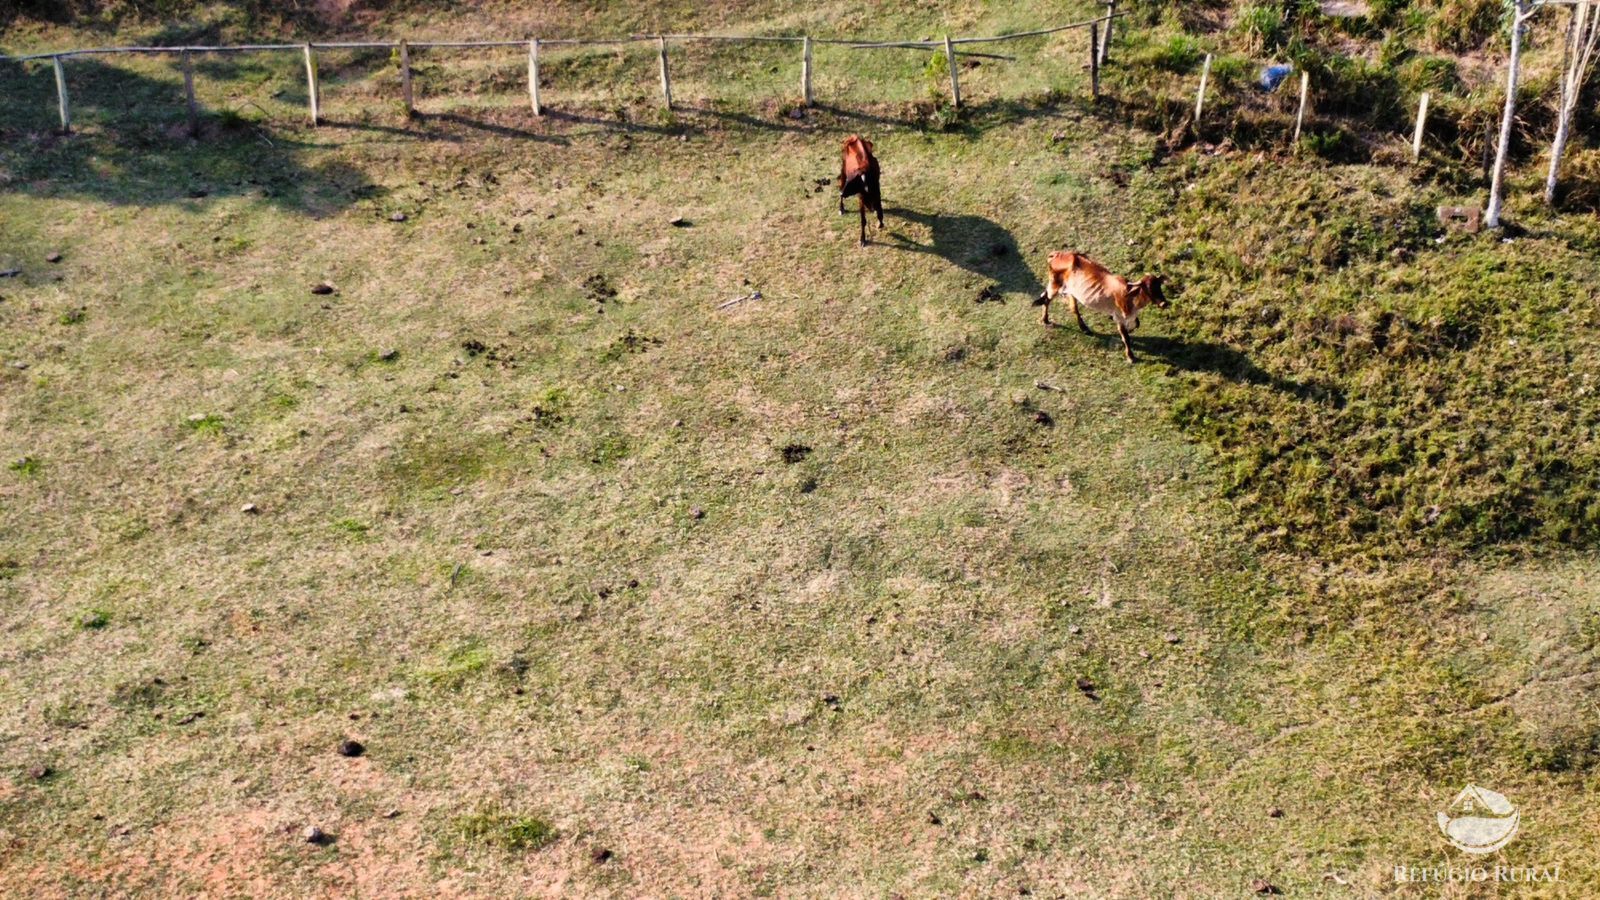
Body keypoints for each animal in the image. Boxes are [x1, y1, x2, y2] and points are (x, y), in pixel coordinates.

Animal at [1036, 248, 1164, 360]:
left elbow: (1136, 324)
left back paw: (1084, 328)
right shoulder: (1119, 316)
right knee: (1046, 299)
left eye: (1159, 287)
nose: (1164, 303)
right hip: (1055, 286)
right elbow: (1125, 337)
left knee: (1072, 308)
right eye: (1148, 289)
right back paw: (1045, 320)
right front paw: (1131, 356)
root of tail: (1056, 254)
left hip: (1071, 291)